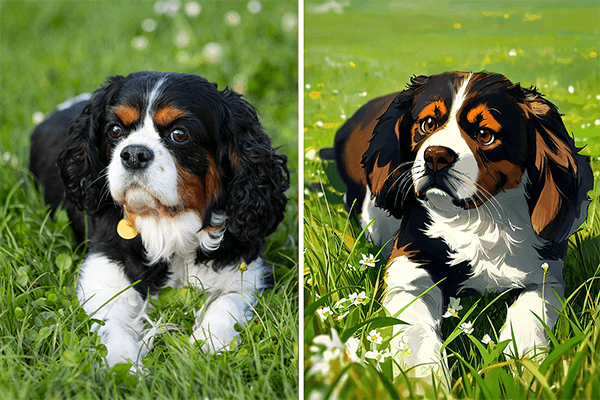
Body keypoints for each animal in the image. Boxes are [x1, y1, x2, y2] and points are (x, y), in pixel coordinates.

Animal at [29, 71, 288, 368]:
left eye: (179, 134)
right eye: (115, 130)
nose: (133, 154)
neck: (167, 222)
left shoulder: (247, 271)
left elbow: (227, 304)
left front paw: (207, 346)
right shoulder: (102, 277)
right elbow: (111, 327)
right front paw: (124, 365)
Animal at [322, 71, 592, 376]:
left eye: (485, 135)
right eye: (427, 124)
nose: (435, 156)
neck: (476, 220)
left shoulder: (545, 272)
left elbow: (530, 312)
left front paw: (527, 364)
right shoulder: (408, 265)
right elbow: (413, 325)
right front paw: (424, 375)